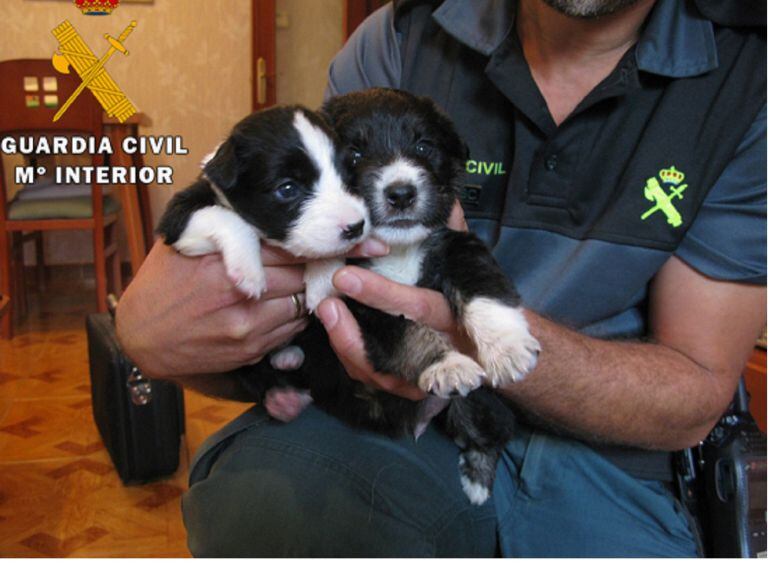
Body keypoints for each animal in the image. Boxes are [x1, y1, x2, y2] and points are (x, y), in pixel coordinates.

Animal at [242, 88, 540, 502]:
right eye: (353, 154)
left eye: (423, 145)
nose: (401, 194)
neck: (398, 249)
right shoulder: (359, 299)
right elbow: (407, 332)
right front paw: (446, 363)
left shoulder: (457, 245)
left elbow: (485, 288)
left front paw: (508, 347)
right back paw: (283, 389)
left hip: (477, 404)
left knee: (490, 433)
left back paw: (477, 482)